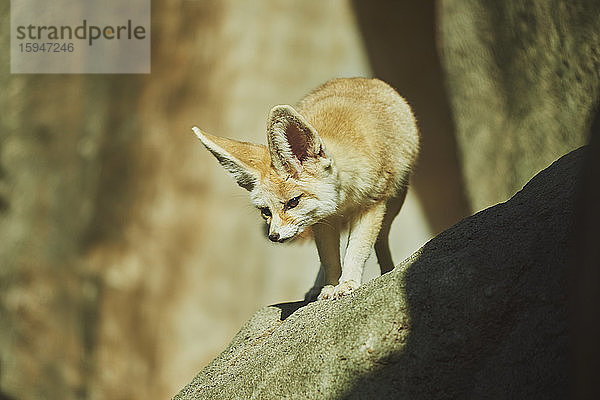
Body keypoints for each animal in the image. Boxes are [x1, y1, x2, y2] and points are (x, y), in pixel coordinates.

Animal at [192, 79, 418, 300]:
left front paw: (347, 283)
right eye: (266, 211)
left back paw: (387, 268)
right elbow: (329, 259)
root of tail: (365, 79)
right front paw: (329, 287)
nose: (273, 236)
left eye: (293, 202)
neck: (344, 199)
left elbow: (357, 249)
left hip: (393, 204)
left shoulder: (371, 205)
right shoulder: (322, 220)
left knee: (381, 239)